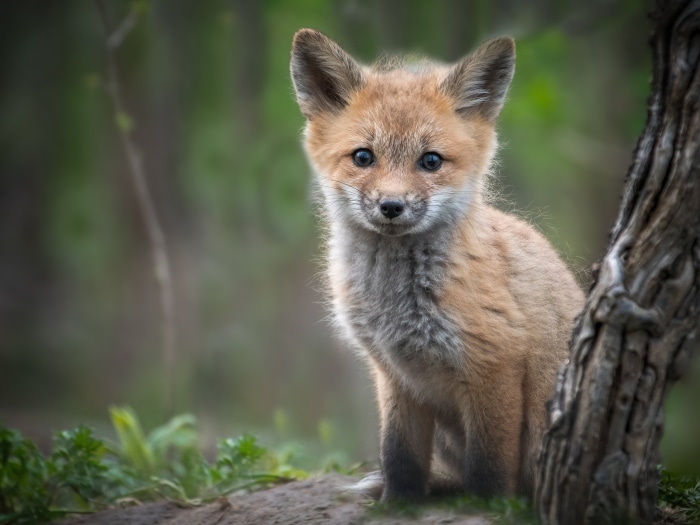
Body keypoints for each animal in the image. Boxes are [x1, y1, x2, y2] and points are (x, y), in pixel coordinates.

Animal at [290, 28, 585, 501]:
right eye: (363, 157)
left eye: (430, 161)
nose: (392, 206)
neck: (397, 305)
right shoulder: (394, 374)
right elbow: (399, 455)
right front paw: (397, 504)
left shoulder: (494, 366)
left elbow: (489, 469)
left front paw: (488, 506)